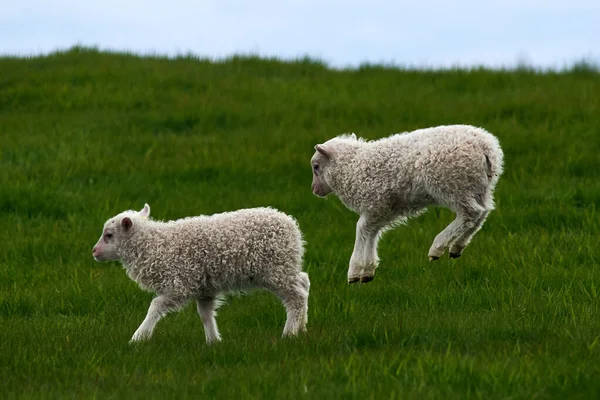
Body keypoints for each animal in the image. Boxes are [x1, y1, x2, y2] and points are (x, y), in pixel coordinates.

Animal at [92, 203, 314, 344]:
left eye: (109, 235)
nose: (94, 251)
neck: (154, 245)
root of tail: (292, 226)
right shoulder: (204, 288)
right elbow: (205, 314)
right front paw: (213, 341)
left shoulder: (179, 284)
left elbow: (154, 306)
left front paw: (138, 337)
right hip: (285, 266)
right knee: (304, 282)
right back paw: (302, 328)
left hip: (276, 268)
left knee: (296, 296)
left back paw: (289, 333)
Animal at [312, 125, 504, 284]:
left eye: (315, 166)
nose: (314, 190)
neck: (352, 166)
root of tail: (485, 147)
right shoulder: (382, 210)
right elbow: (371, 233)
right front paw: (367, 271)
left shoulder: (375, 203)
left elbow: (361, 230)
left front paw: (354, 271)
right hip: (479, 186)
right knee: (482, 213)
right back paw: (457, 246)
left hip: (451, 183)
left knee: (471, 213)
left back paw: (438, 246)